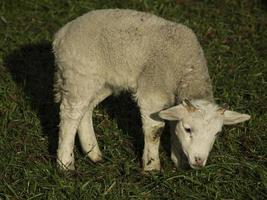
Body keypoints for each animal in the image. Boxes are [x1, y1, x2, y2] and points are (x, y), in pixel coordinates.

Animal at [52, 9, 251, 171]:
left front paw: (178, 160)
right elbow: (155, 130)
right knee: (70, 114)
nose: (198, 161)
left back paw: (93, 153)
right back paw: (65, 164)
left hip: (102, 81)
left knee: (86, 110)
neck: (187, 70)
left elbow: (172, 123)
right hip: (79, 74)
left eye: (217, 133)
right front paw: (151, 166)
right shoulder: (154, 90)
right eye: (188, 129)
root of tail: (61, 34)